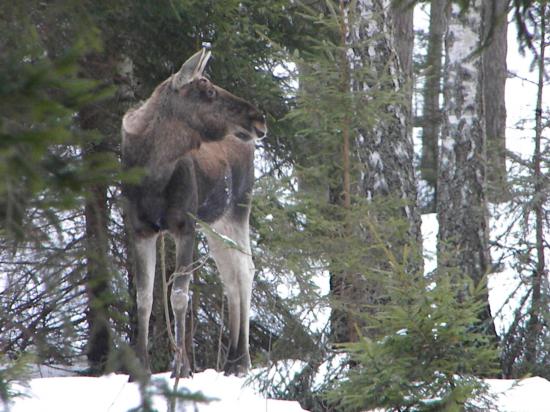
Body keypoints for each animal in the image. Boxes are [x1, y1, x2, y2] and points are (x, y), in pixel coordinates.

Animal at [121, 50, 268, 378]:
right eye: (208, 91)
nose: (259, 117)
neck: (153, 175)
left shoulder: (184, 226)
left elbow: (178, 296)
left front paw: (181, 367)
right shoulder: (140, 230)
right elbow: (144, 298)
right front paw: (140, 369)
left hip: (237, 210)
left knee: (246, 269)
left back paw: (242, 360)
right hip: (215, 223)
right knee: (230, 275)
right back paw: (232, 360)